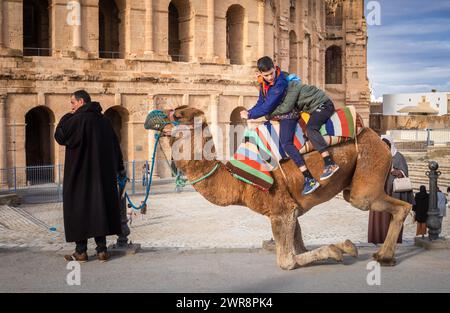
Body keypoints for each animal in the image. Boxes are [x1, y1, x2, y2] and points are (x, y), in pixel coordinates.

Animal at [153, 106, 414, 270]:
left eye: (178, 114)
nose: (154, 118)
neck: (239, 183)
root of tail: (378, 137)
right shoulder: (292, 208)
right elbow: (299, 247)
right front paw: (344, 247)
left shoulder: (280, 210)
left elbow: (287, 260)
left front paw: (337, 250)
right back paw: (383, 255)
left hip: (367, 169)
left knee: (392, 204)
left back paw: (385, 256)